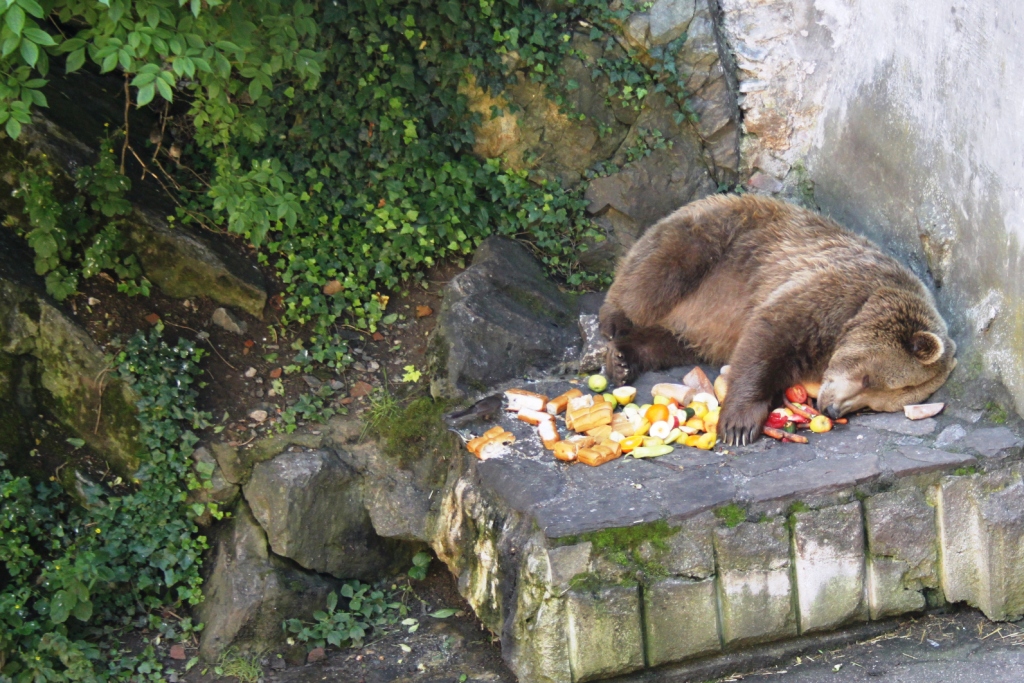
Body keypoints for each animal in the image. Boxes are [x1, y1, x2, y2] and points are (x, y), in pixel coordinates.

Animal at [598, 194, 958, 446]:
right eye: (868, 379)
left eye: (872, 405)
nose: (832, 410)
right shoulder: (828, 293)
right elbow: (769, 337)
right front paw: (739, 425)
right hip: (712, 243)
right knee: (653, 279)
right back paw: (614, 324)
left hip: (703, 325)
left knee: (672, 340)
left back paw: (625, 358)